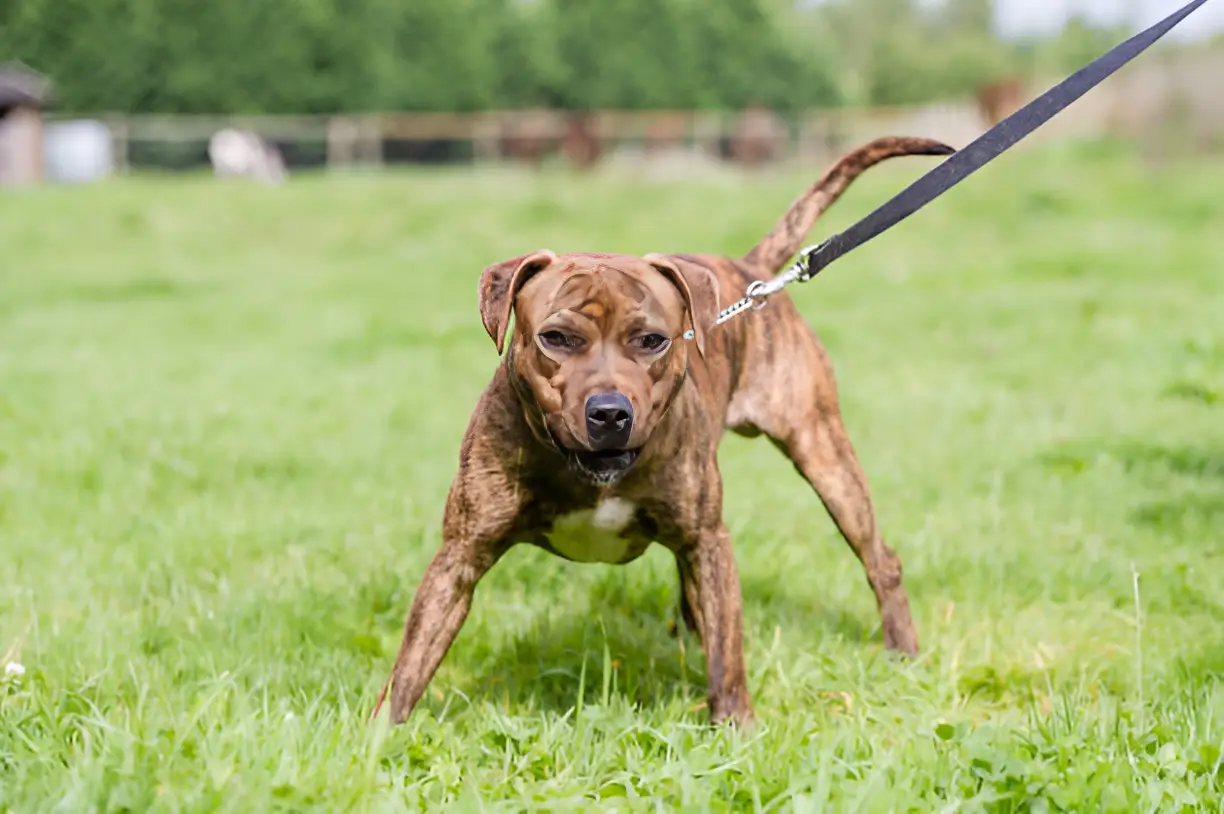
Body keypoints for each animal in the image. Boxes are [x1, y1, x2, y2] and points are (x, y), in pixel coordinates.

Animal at [376, 134, 949, 724]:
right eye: (556, 338)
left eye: (652, 340)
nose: (609, 411)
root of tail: (748, 270)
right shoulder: (460, 555)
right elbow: (412, 661)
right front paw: (382, 735)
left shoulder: (708, 541)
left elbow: (728, 658)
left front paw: (735, 727)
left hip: (823, 452)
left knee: (880, 559)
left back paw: (902, 653)